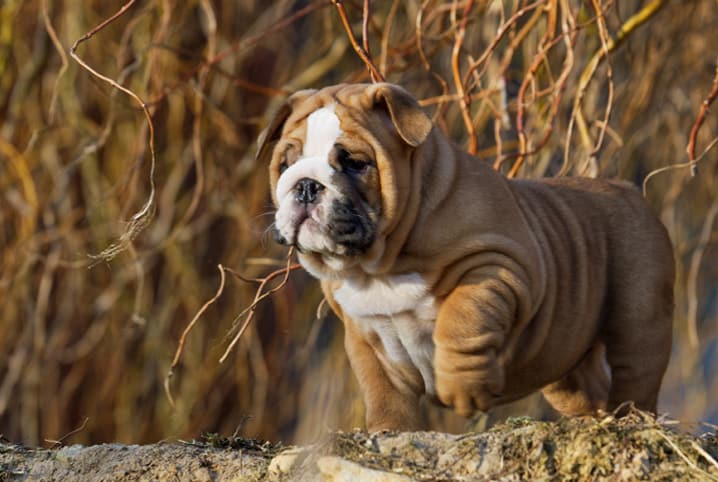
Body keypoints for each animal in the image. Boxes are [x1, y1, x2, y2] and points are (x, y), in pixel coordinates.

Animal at [258, 83, 676, 434]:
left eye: (356, 163)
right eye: (285, 164)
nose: (306, 185)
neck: (379, 266)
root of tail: (626, 189)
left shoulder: (496, 267)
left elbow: (460, 322)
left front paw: (462, 390)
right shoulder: (364, 333)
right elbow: (382, 388)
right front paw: (388, 430)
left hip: (639, 312)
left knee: (636, 370)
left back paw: (632, 422)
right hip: (566, 358)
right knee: (587, 388)